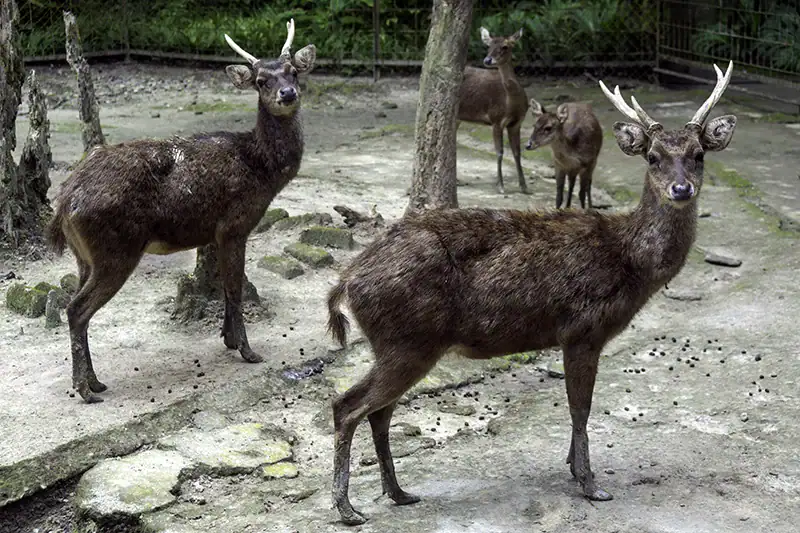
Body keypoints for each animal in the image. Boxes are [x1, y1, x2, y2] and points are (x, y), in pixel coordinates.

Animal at [45, 20, 316, 404]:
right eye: (261, 80)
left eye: (293, 71)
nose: (288, 94)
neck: (260, 169)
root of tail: (65, 203)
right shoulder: (235, 224)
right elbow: (234, 286)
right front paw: (248, 351)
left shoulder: (214, 232)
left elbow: (224, 285)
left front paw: (228, 339)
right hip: (116, 250)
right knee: (75, 310)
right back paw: (86, 389)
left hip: (84, 256)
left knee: (76, 303)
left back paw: (93, 382)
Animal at [326, 61, 737, 525]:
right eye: (653, 157)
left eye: (699, 154)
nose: (681, 190)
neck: (629, 261)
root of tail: (347, 280)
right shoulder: (583, 329)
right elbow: (581, 408)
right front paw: (590, 484)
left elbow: (579, 407)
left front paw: (573, 469)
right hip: (407, 340)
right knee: (347, 406)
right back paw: (348, 508)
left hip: (402, 344)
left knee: (379, 412)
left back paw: (399, 493)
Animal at [458, 27, 529, 195]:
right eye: (489, 46)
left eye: (505, 46)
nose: (487, 60)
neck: (511, 105)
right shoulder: (496, 119)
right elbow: (500, 152)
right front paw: (501, 186)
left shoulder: (517, 123)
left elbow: (517, 152)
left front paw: (524, 186)